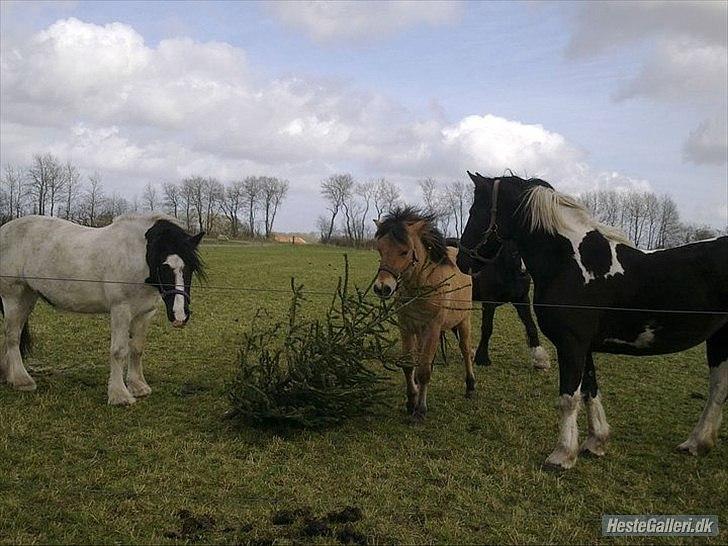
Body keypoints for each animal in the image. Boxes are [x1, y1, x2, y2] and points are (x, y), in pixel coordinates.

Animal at [1, 212, 205, 404]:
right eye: (163, 267)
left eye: (190, 268)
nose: (179, 316)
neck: (135, 255)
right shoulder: (121, 310)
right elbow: (119, 350)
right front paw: (119, 395)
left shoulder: (144, 313)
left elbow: (137, 349)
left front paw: (138, 387)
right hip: (13, 297)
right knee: (12, 337)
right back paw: (22, 380)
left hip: (28, 297)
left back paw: (9, 376)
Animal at [446, 237, 548, 370]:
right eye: (514, 251)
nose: (524, 274)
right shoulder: (489, 302)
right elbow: (487, 328)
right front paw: (483, 358)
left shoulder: (521, 300)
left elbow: (531, 326)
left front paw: (539, 358)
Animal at [458, 173, 724, 468]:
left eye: (474, 211)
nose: (461, 260)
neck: (572, 263)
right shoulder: (582, 345)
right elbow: (589, 390)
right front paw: (595, 442)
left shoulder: (571, 344)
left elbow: (569, 397)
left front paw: (562, 454)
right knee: (718, 389)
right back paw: (696, 444)